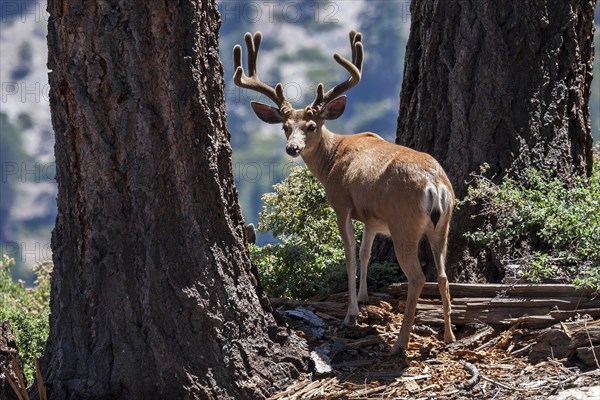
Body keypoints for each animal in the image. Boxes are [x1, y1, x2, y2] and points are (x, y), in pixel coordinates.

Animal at [233, 32, 454, 356]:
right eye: (285, 127)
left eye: (311, 126)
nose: (292, 148)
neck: (332, 159)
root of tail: (435, 185)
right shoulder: (372, 218)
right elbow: (364, 253)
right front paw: (363, 299)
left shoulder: (341, 203)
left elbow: (349, 254)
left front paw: (351, 314)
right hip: (444, 224)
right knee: (442, 274)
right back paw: (449, 336)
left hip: (404, 223)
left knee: (417, 277)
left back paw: (399, 344)